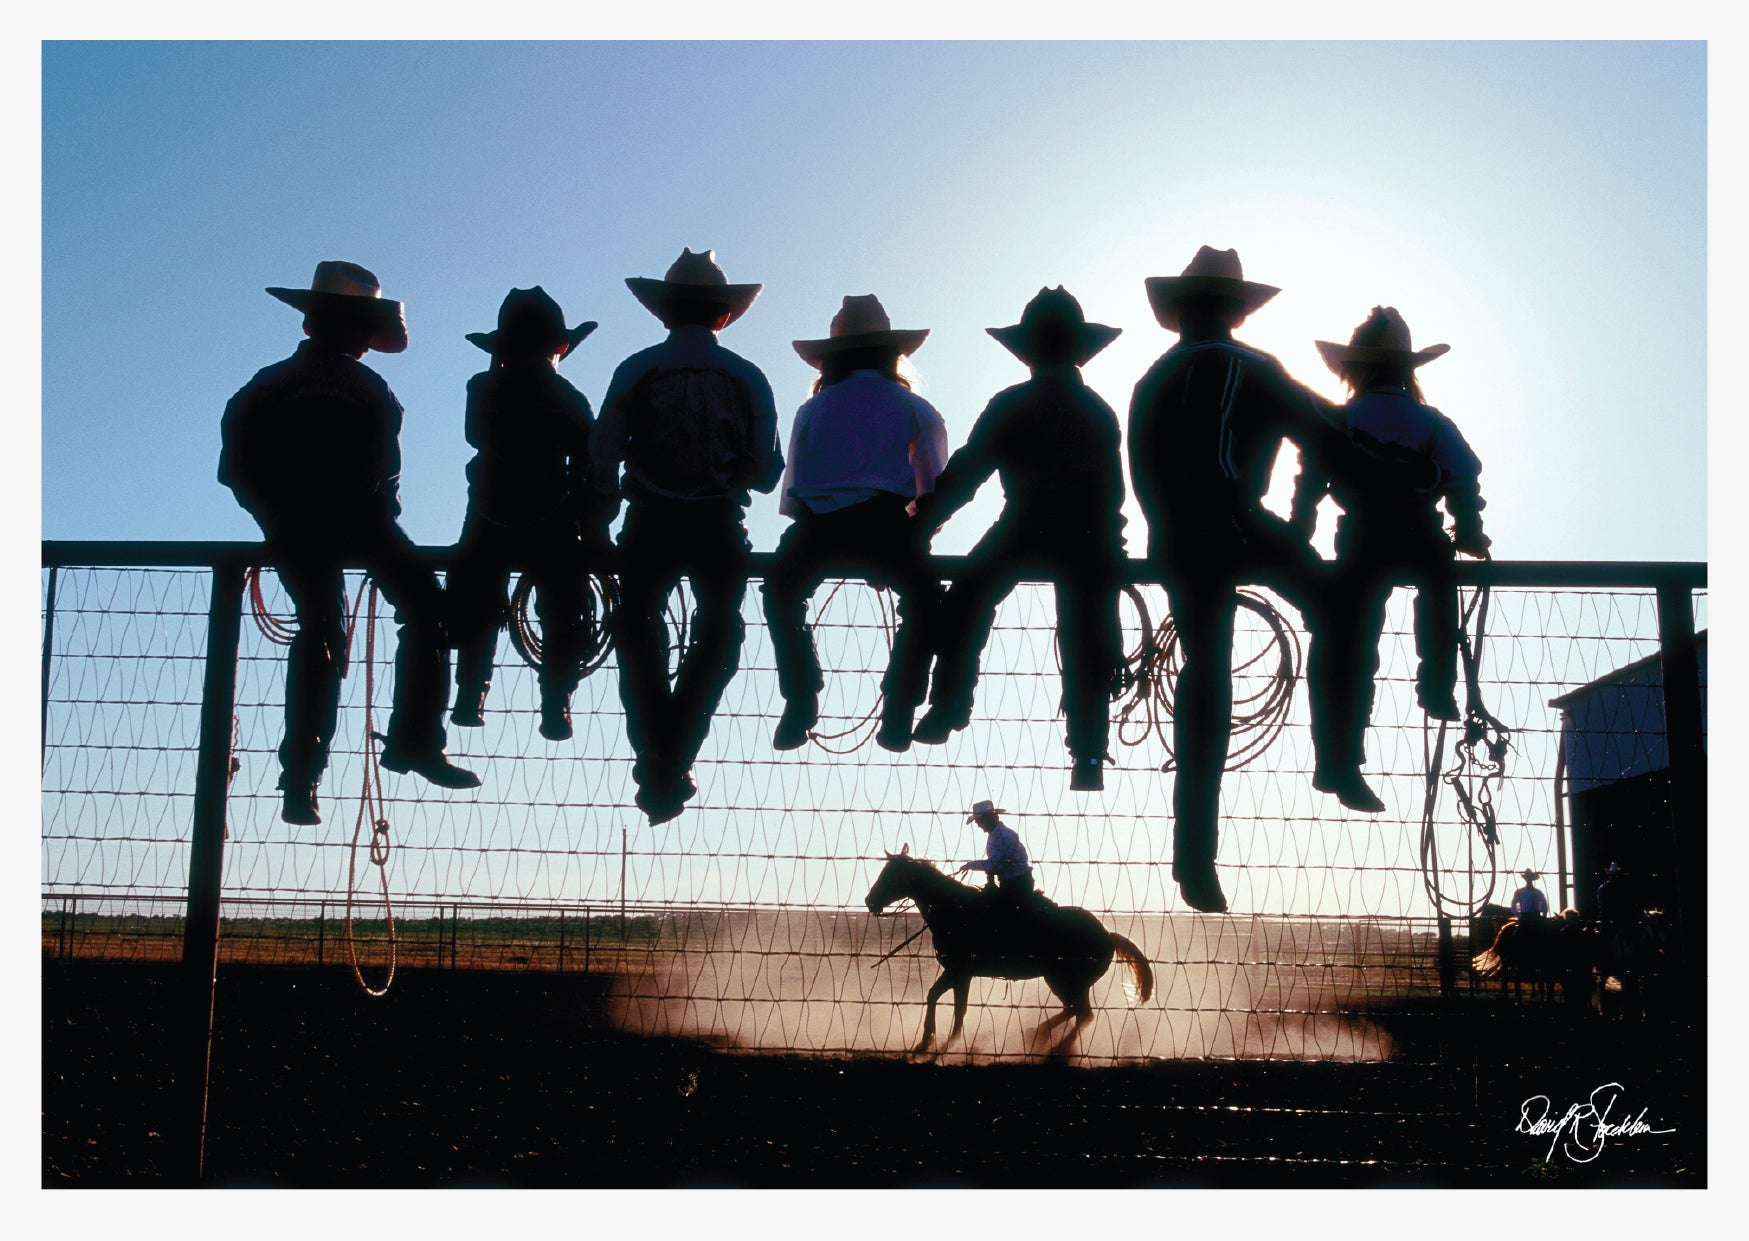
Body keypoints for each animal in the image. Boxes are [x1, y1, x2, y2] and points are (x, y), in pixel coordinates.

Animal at [864, 849, 1161, 1055]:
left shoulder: (959, 971)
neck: (955, 909)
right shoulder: (961, 974)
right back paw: (1037, 1033)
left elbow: (942, 999)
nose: (869, 901)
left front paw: (932, 1042)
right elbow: (951, 1004)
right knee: (1074, 1011)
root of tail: (1108, 935)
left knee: (1083, 1013)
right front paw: (943, 1040)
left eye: (890, 875)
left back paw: (1055, 1046)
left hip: (1066, 981)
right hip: (1064, 982)